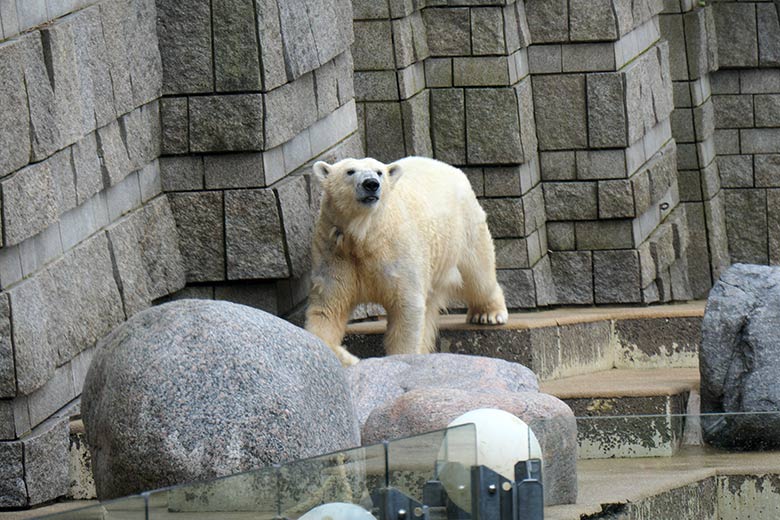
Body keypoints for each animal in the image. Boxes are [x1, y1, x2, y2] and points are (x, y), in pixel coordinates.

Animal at [302, 155, 508, 366]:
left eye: (379, 172)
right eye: (350, 171)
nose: (371, 184)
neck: (365, 236)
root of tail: (451, 168)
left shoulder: (397, 253)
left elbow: (406, 307)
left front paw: (401, 359)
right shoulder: (335, 254)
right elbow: (326, 311)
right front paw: (348, 357)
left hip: (463, 228)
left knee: (478, 273)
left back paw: (488, 314)